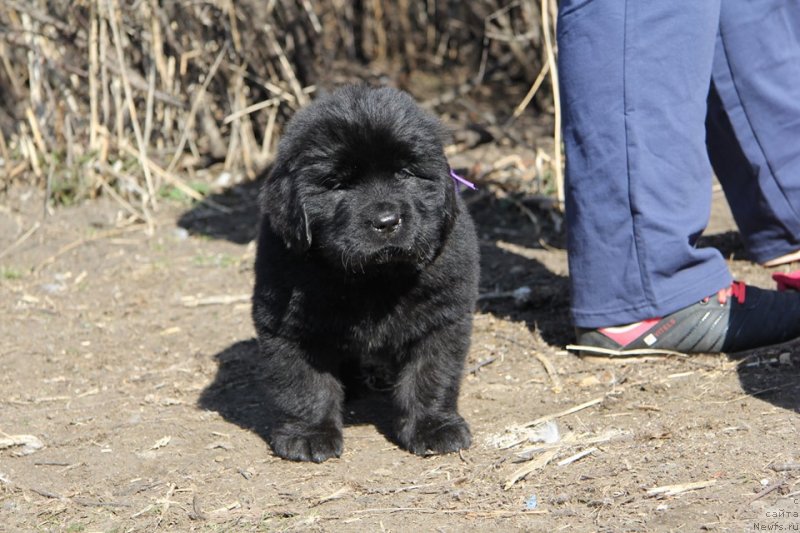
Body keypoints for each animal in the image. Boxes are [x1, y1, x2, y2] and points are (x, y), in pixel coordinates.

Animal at [253, 85, 478, 460]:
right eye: (338, 184)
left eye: (405, 172)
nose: (386, 221)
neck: (373, 279)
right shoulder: (287, 324)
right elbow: (303, 384)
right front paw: (309, 435)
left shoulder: (441, 318)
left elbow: (431, 375)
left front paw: (434, 428)